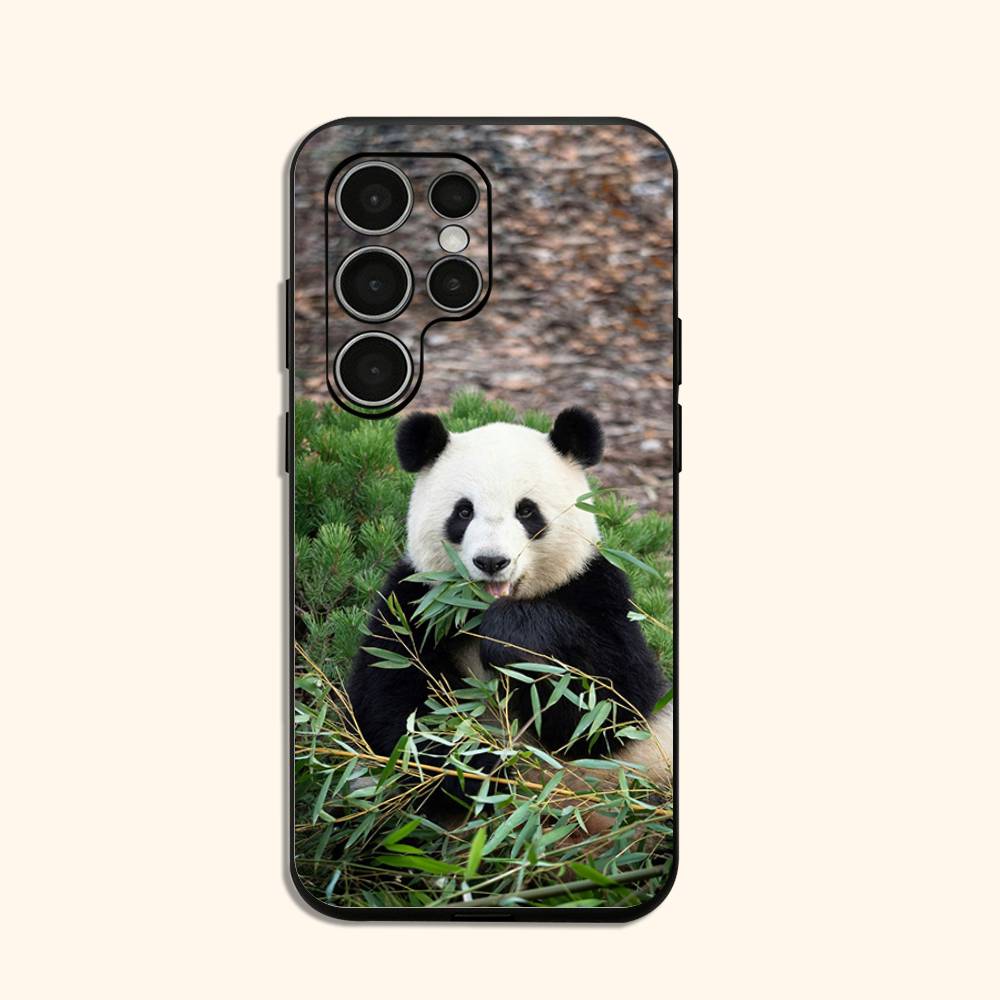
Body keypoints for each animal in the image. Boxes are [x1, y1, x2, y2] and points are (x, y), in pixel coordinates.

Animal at [346, 406, 673, 813]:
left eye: (527, 511)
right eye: (463, 511)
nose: (491, 561)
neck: (475, 611)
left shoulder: (596, 589)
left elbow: (613, 702)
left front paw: (510, 637)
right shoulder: (412, 603)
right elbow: (392, 704)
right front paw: (476, 769)